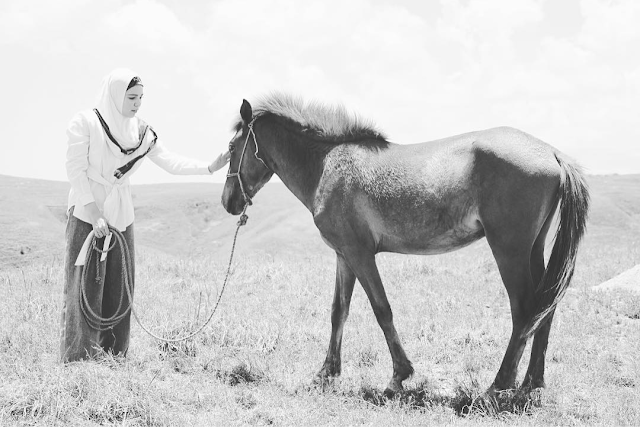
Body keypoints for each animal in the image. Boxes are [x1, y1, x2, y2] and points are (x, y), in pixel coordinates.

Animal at [221, 94, 592, 398]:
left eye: (232, 148)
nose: (228, 202)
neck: (328, 163)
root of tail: (552, 154)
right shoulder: (344, 256)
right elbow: (338, 311)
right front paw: (326, 373)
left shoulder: (360, 255)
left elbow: (381, 309)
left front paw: (399, 375)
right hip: (533, 250)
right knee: (545, 308)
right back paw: (531, 382)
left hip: (509, 252)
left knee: (525, 310)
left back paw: (498, 386)